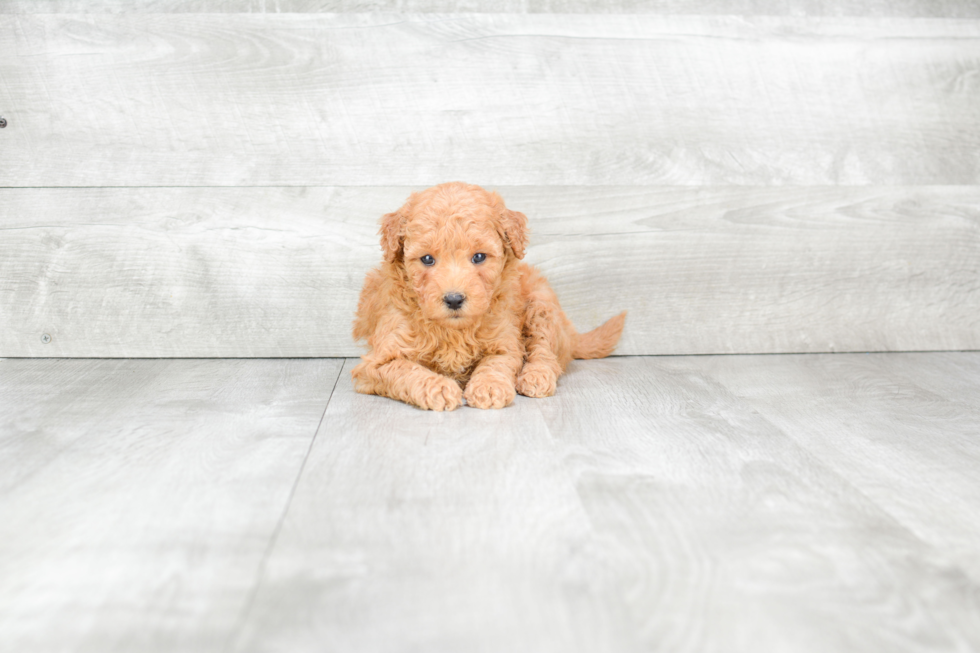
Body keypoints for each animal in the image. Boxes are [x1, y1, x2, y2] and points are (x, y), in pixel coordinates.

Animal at [352, 181, 628, 410]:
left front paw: (489, 387)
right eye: (427, 259)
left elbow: (495, 364)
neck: (454, 331)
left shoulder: (505, 343)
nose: (454, 299)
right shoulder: (377, 362)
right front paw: (438, 388)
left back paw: (535, 376)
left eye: (479, 257)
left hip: (541, 304)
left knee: (546, 351)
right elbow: (406, 370)